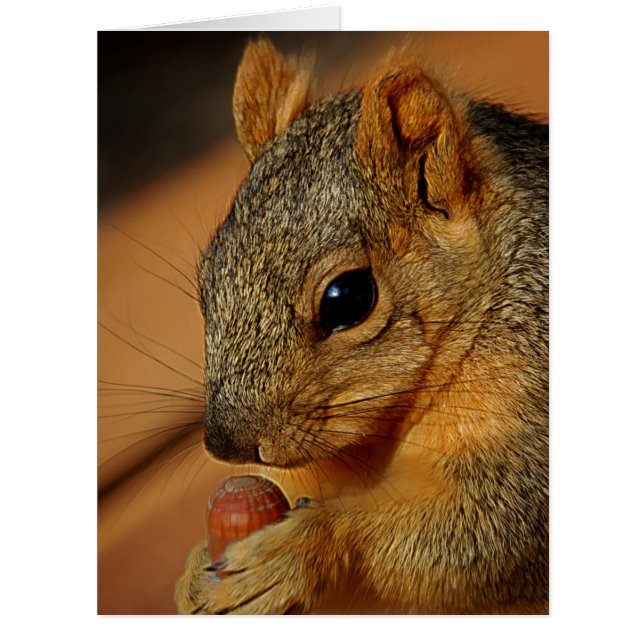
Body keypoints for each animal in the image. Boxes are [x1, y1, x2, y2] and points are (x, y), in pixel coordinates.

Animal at [174, 38, 548, 615]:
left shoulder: (535, 402)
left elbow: (494, 529)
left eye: (348, 299)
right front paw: (194, 572)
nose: (225, 444)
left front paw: (301, 546)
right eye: (207, 279)